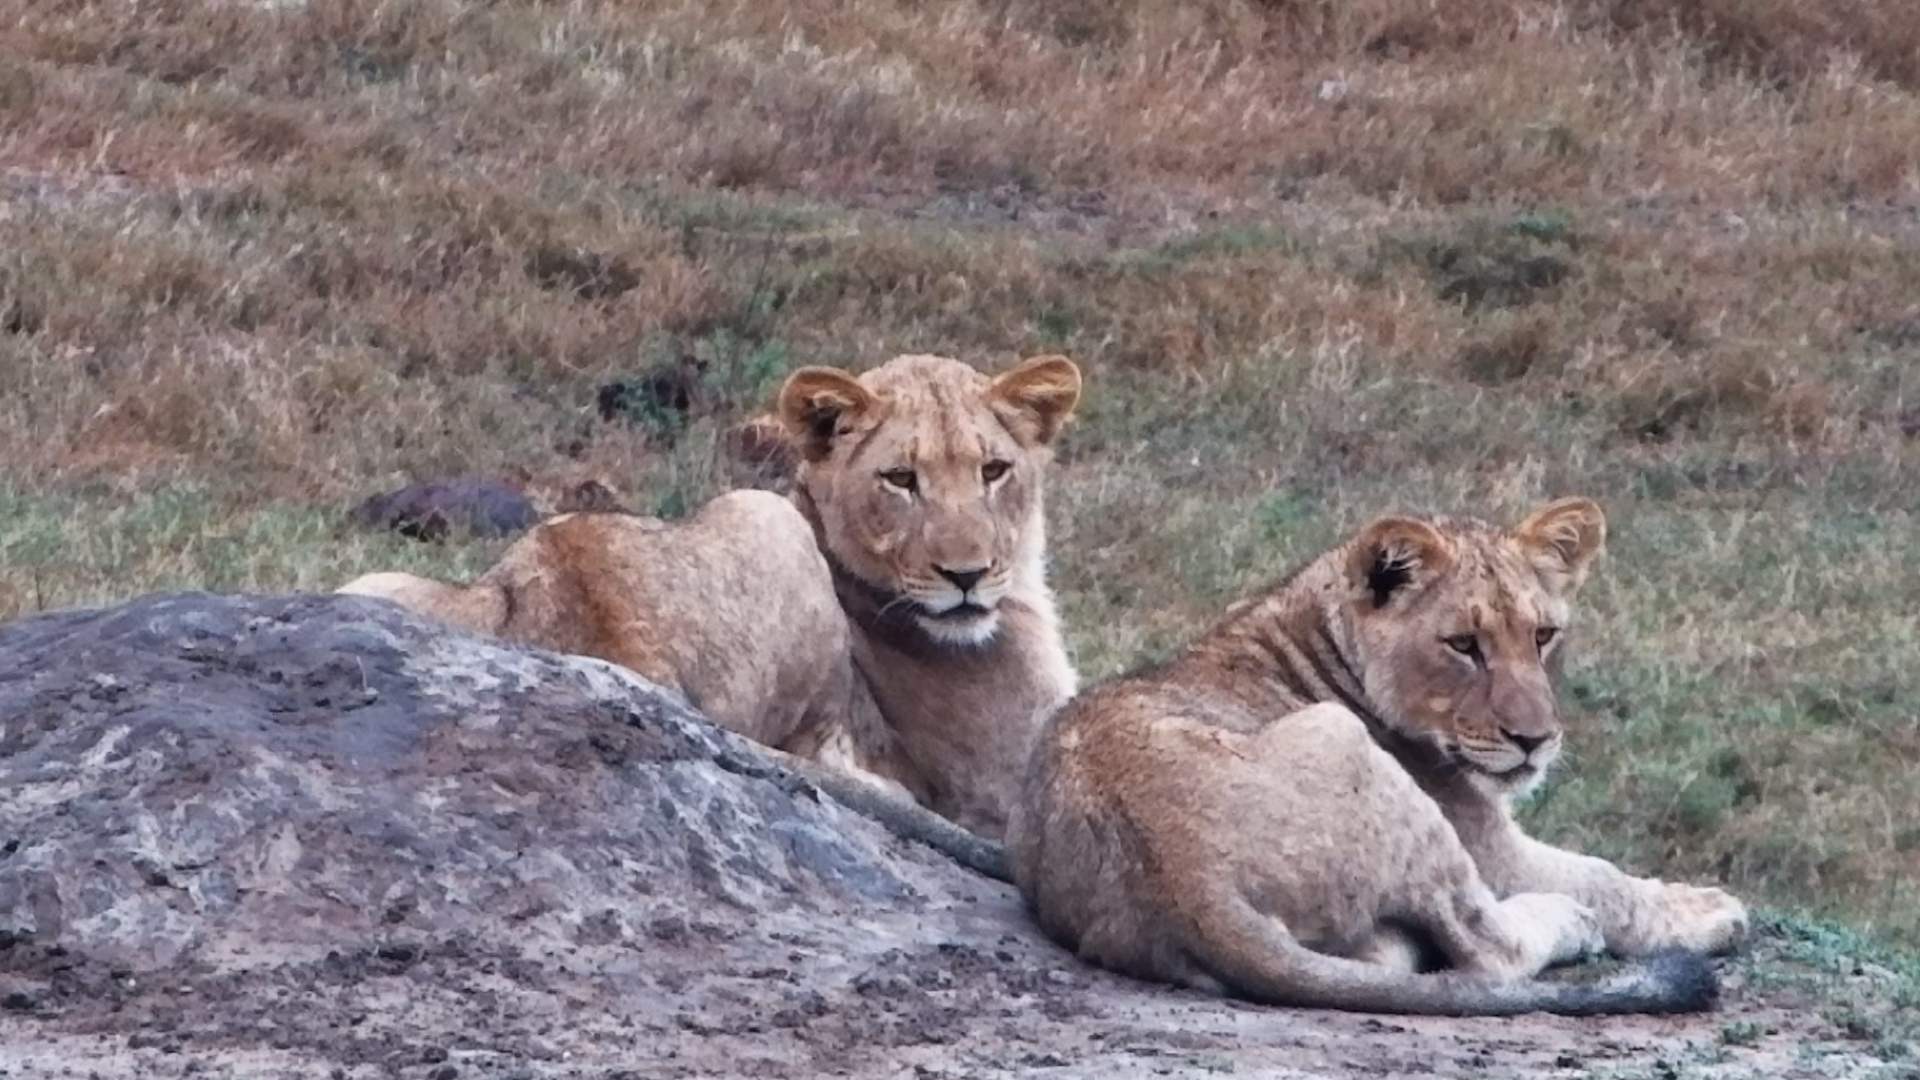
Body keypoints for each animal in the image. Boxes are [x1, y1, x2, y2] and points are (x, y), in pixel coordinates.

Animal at [339, 352, 1081, 851]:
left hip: (375, 583)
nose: (968, 574)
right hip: (760, 517)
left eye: (994, 471)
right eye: (900, 479)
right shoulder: (1011, 781)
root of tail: (618, 636)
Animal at [1004, 498, 1748, 1015]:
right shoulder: (1491, 848)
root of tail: (1184, 886)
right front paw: (1704, 912)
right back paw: (1569, 923)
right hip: (1362, 762)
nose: (1535, 739)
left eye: (1543, 636)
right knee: (1488, 950)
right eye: (1463, 645)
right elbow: (1604, 878)